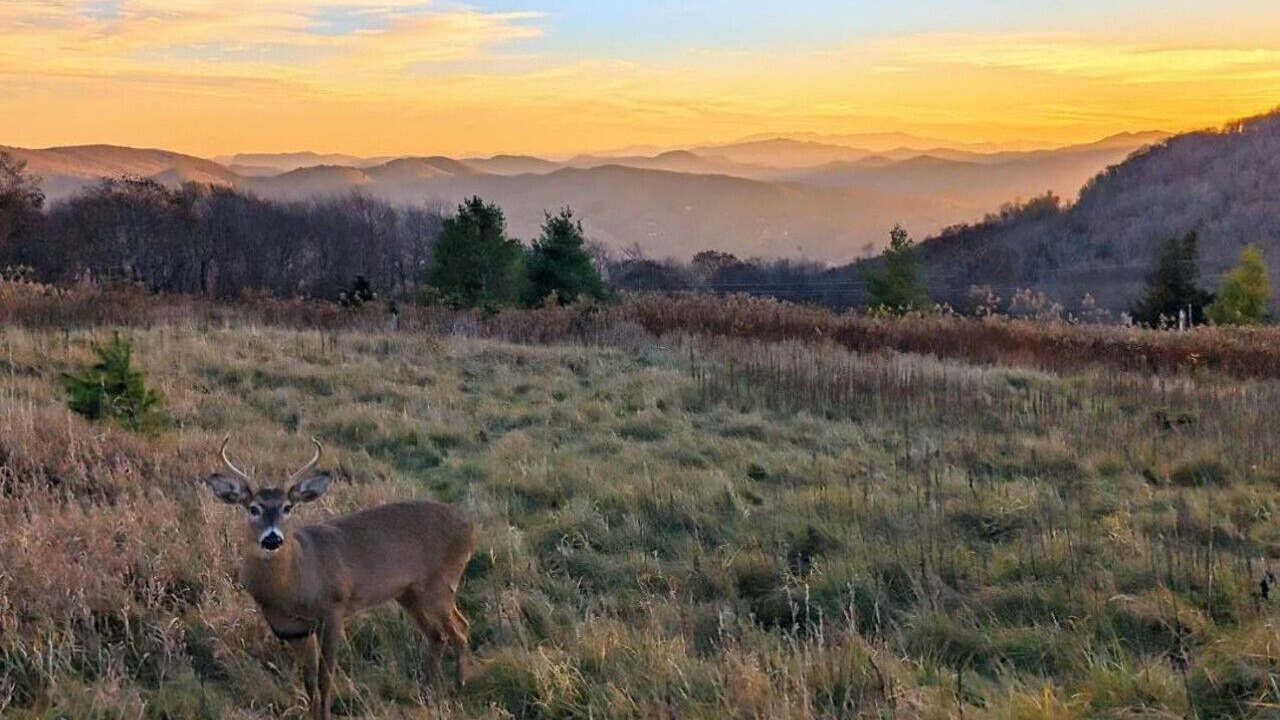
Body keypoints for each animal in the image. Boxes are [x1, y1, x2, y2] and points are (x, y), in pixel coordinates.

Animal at [204, 436, 476, 720]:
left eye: (287, 507)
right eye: (253, 508)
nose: (272, 538)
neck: (292, 585)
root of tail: (471, 528)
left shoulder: (333, 609)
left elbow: (325, 677)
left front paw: (325, 715)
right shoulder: (293, 630)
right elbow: (309, 681)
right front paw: (312, 715)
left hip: (441, 582)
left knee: (461, 627)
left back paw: (458, 686)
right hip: (409, 594)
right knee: (437, 635)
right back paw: (428, 692)